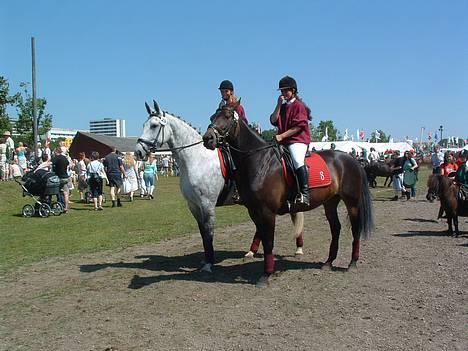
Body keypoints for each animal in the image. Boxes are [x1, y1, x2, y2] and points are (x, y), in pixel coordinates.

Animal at [133, 100, 306, 274]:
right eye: (144, 125)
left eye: (154, 126)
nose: (138, 152)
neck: (197, 158)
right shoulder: (193, 206)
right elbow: (203, 233)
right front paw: (206, 260)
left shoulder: (207, 204)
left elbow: (209, 232)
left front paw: (209, 264)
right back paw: (251, 252)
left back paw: (298, 249)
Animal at [203, 103, 374, 288]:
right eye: (212, 117)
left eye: (227, 117)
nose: (207, 138)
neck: (260, 160)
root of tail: (352, 159)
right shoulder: (254, 211)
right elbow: (263, 237)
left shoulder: (267, 212)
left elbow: (269, 241)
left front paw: (266, 275)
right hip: (330, 203)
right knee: (336, 229)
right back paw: (328, 262)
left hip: (352, 203)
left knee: (355, 230)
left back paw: (352, 263)